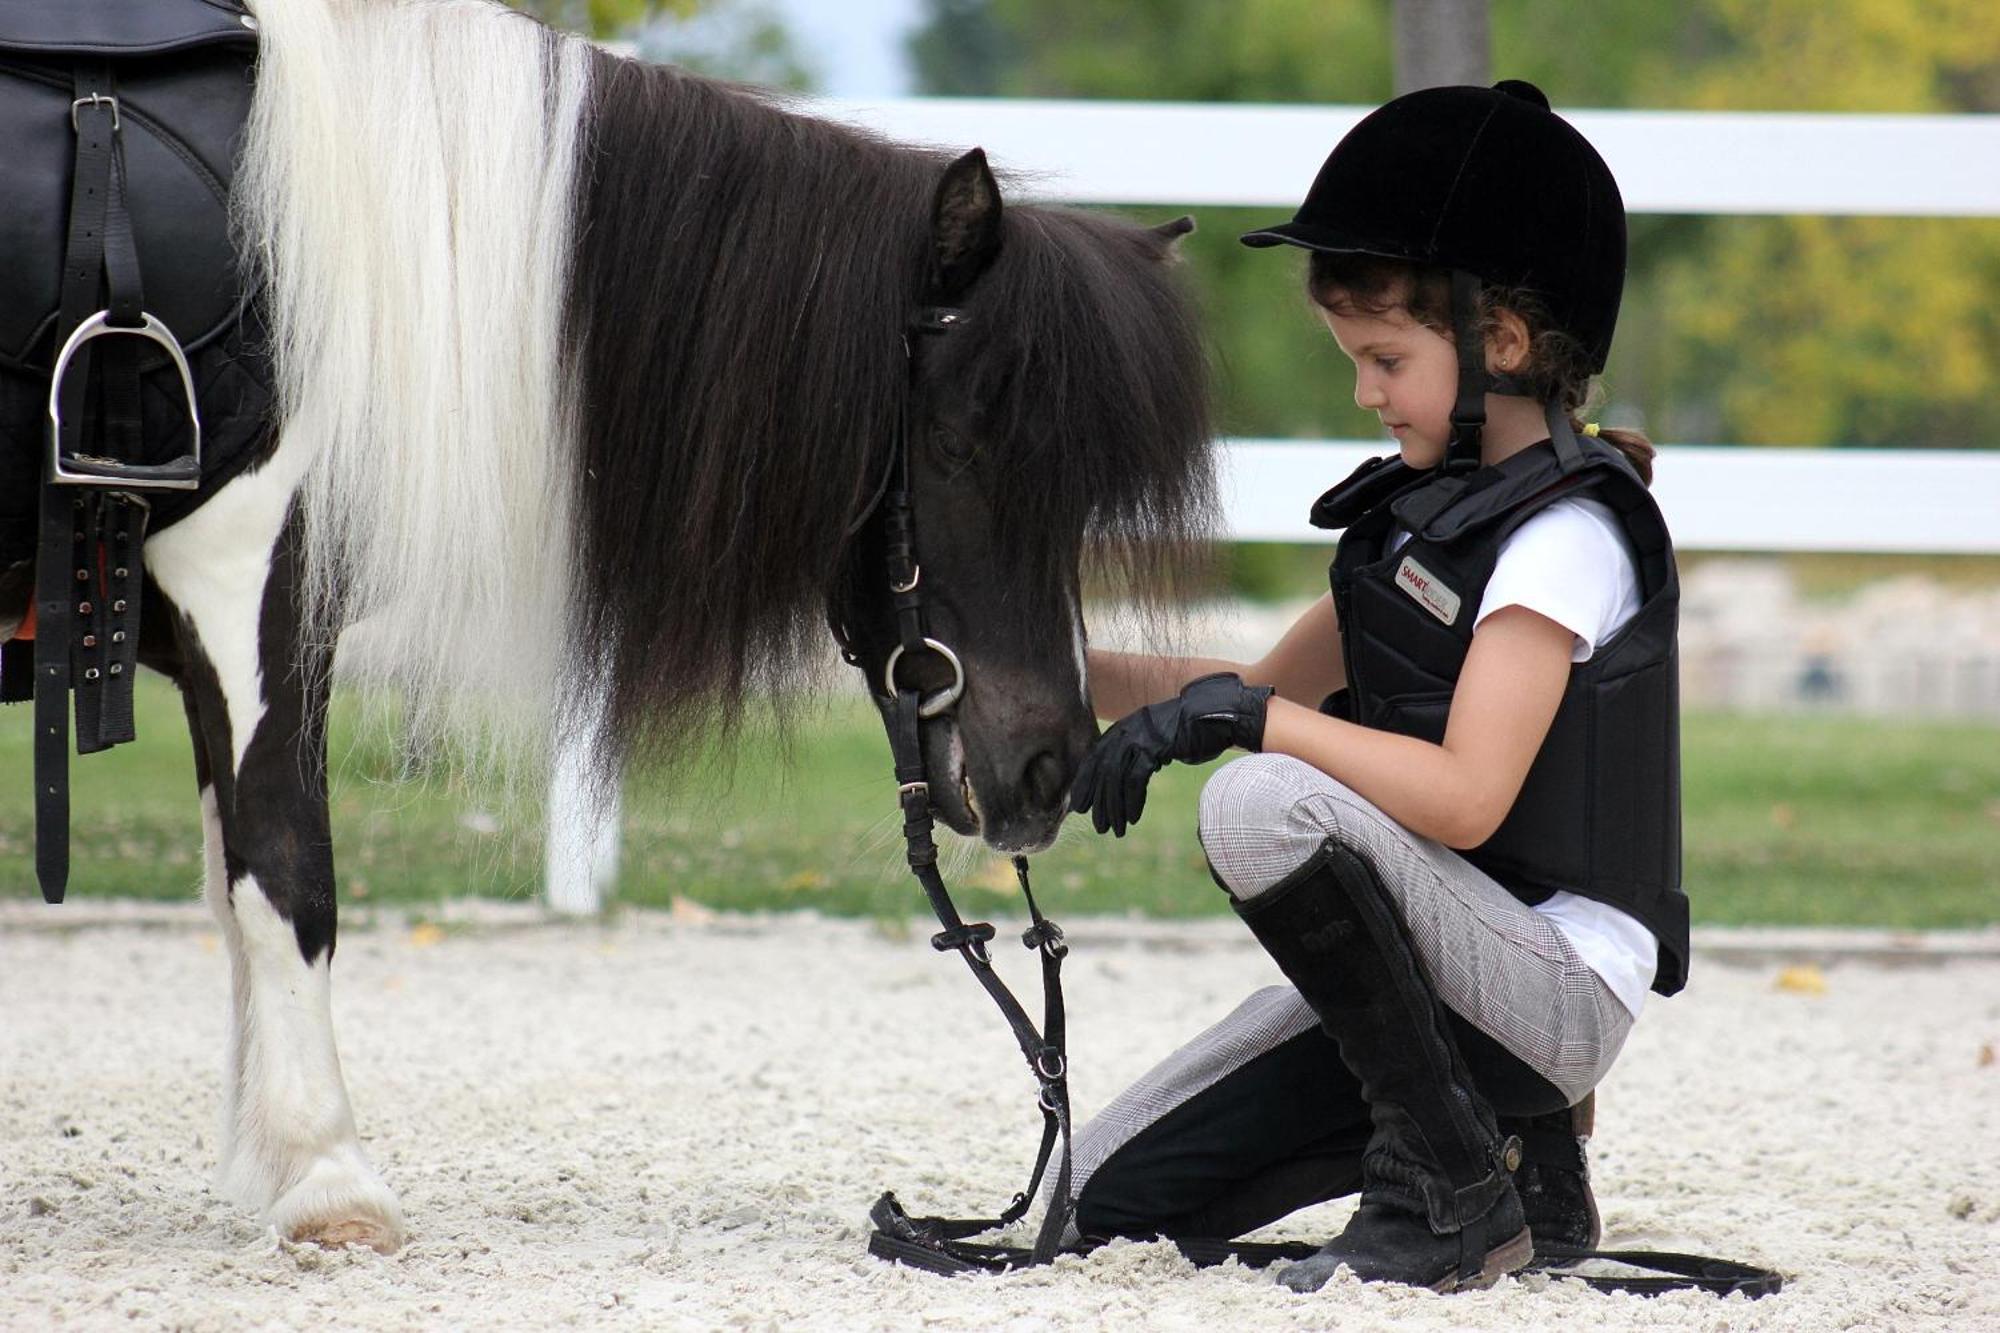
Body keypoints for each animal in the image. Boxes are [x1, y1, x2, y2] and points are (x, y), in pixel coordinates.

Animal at [7, 0, 1208, 1248]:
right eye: (965, 439)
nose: (1052, 764)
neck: (317, 252)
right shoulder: (248, 581)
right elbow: (284, 878)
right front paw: (327, 1176)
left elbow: (230, 887)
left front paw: (271, 1163)